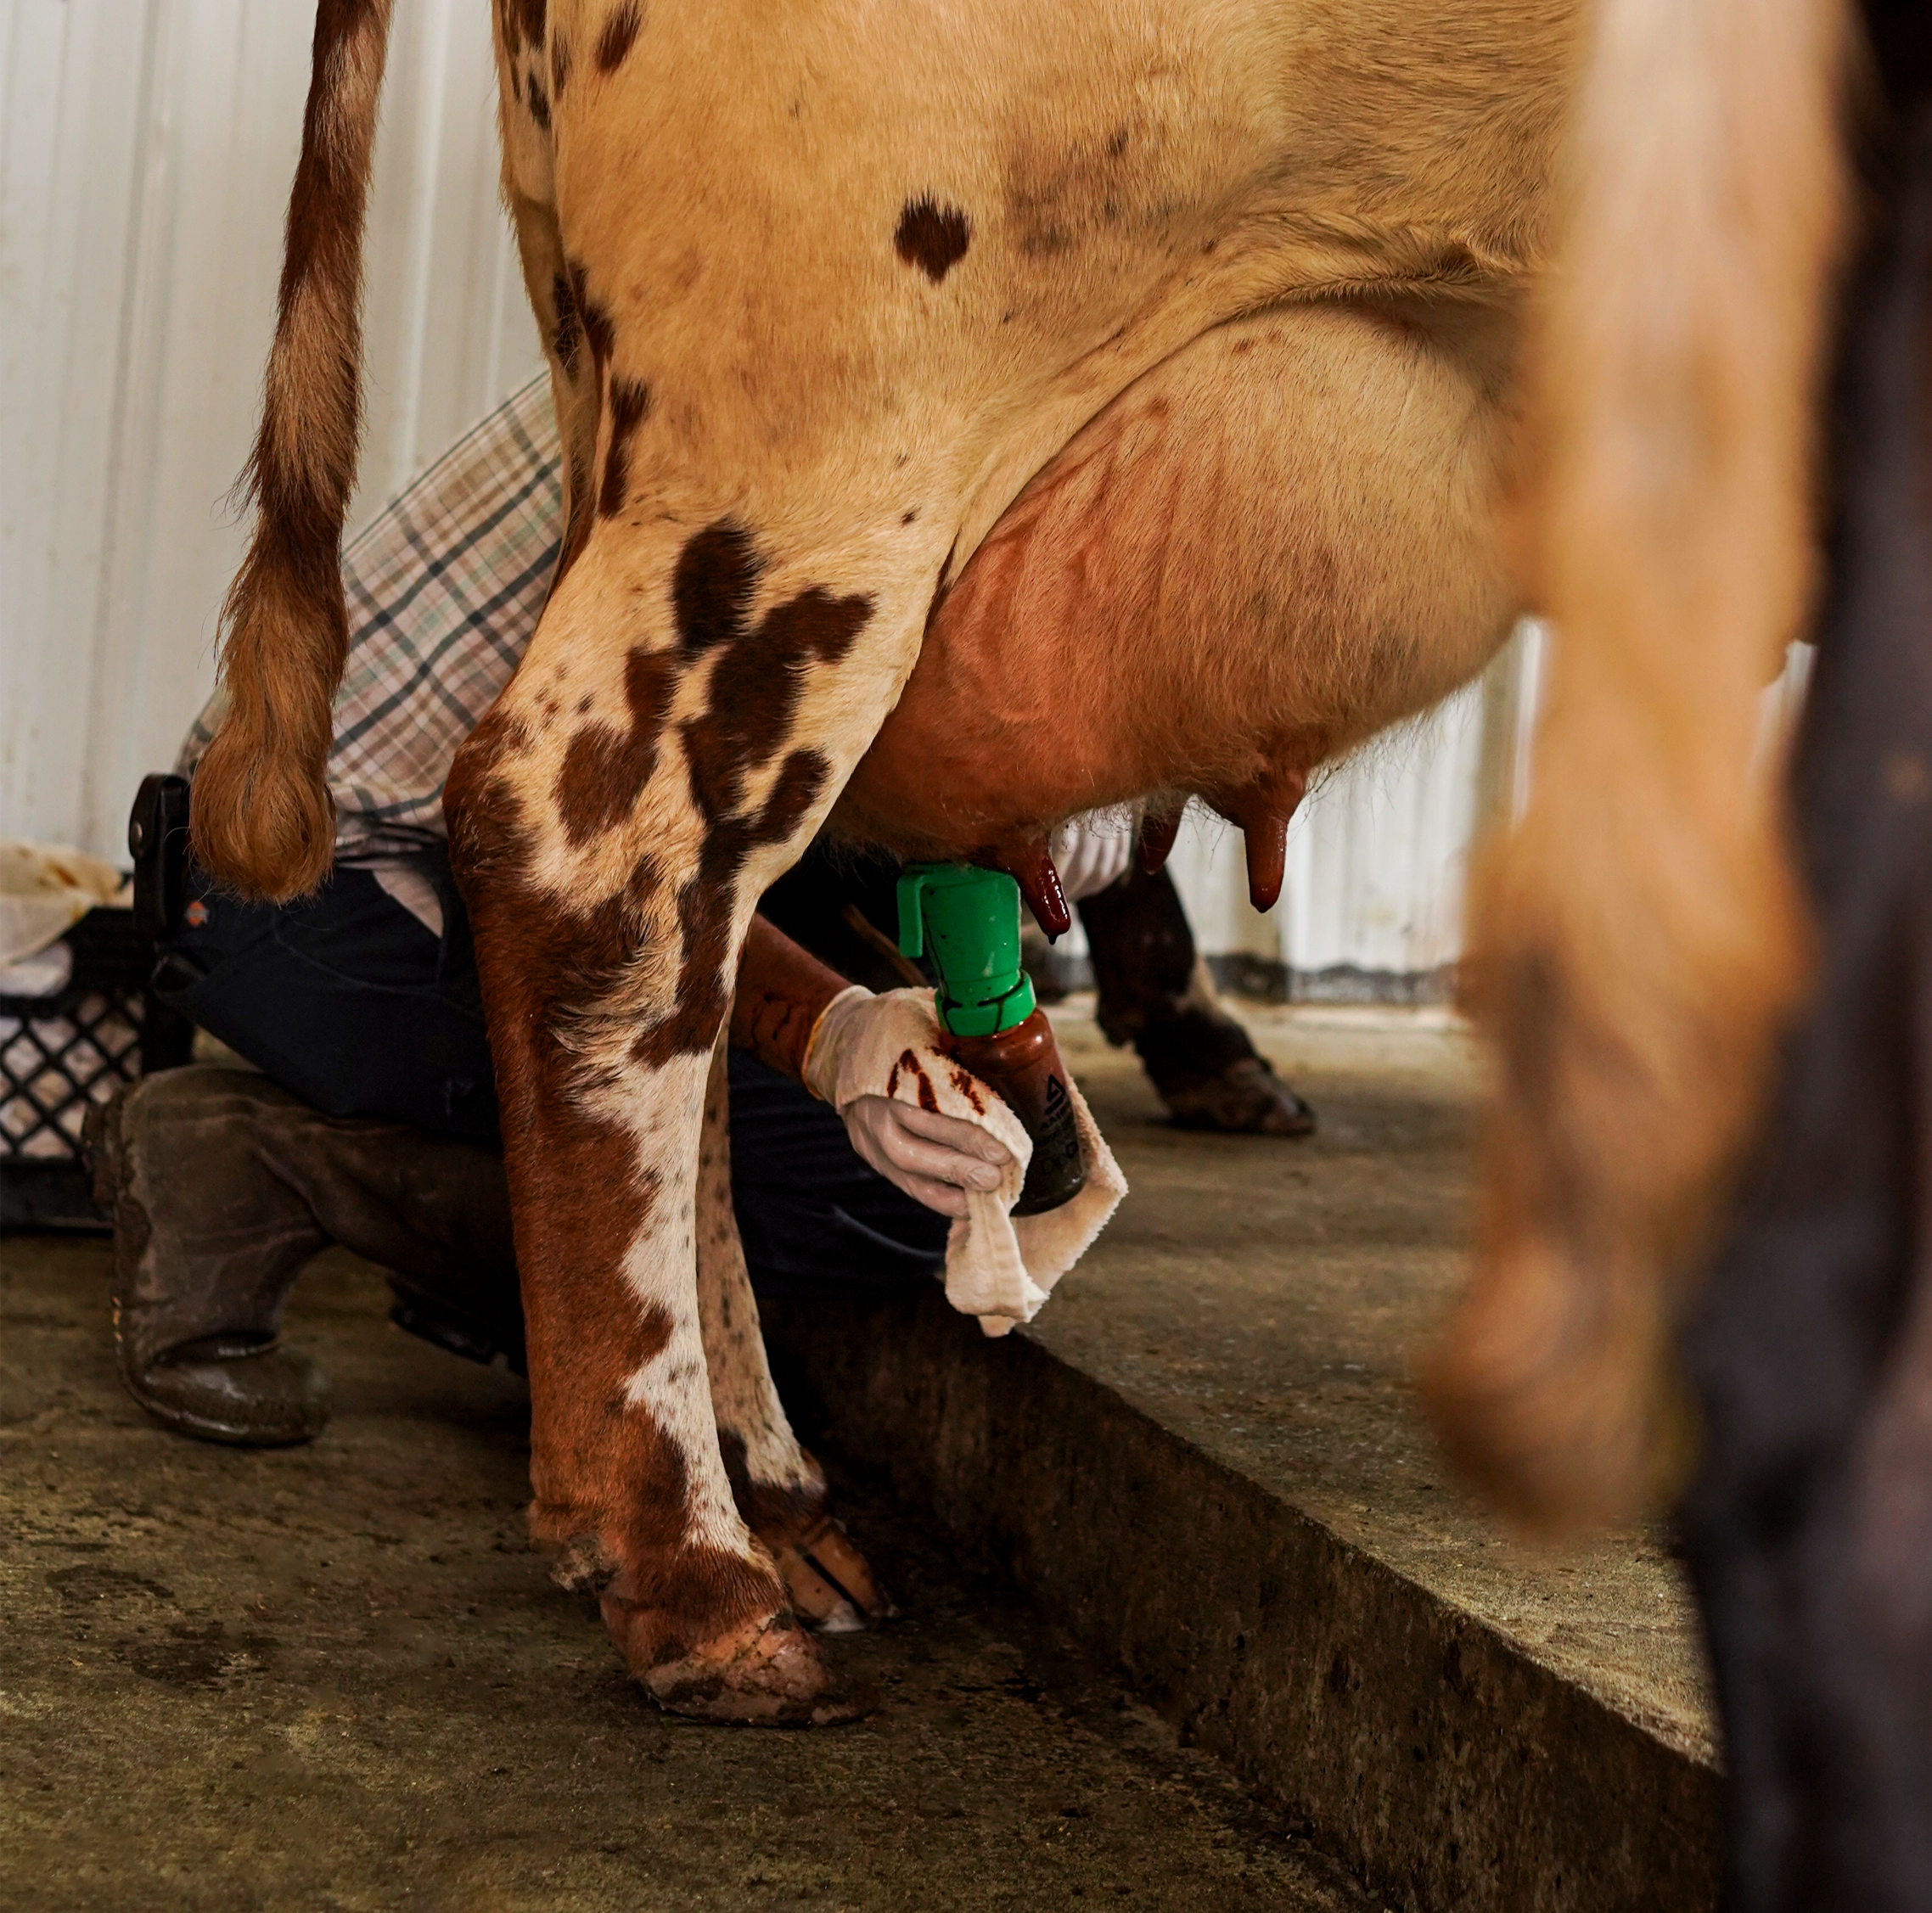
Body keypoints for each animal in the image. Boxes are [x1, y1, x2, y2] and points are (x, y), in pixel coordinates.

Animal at [184, 0, 1584, 1723]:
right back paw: (690, 1569)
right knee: (600, 859)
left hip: (627, 407)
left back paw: (779, 1498)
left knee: (692, 974)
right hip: (832, 427)